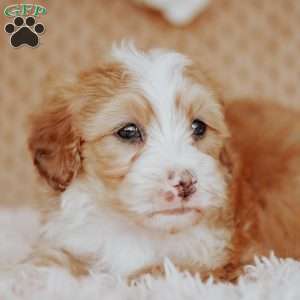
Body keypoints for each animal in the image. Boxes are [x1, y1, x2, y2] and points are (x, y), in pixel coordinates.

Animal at [27, 43, 300, 280]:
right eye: (128, 131)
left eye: (199, 127)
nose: (186, 182)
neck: (134, 229)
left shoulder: (230, 262)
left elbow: (157, 272)